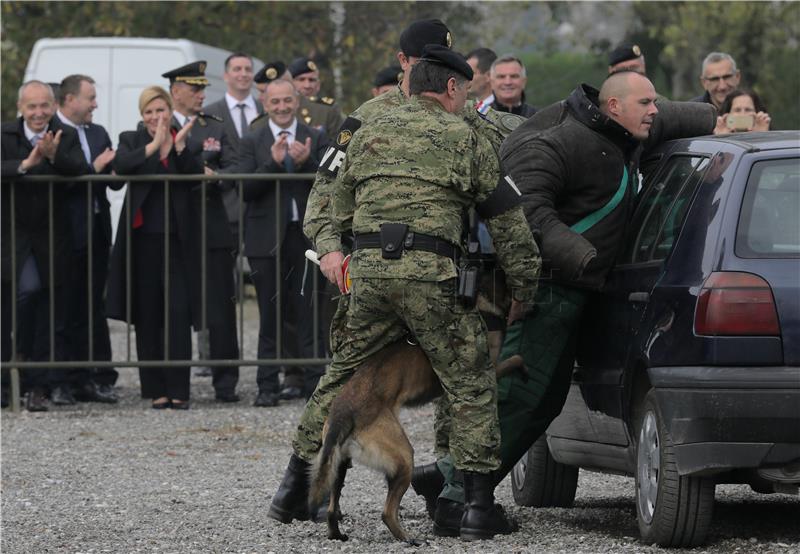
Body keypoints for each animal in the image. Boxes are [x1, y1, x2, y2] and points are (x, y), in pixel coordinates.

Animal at [308, 334, 524, 540]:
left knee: (332, 509)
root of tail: (343, 412)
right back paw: (408, 538)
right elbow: (511, 361)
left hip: (340, 466)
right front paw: (522, 365)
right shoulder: (484, 375)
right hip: (404, 458)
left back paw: (337, 533)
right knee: (387, 513)